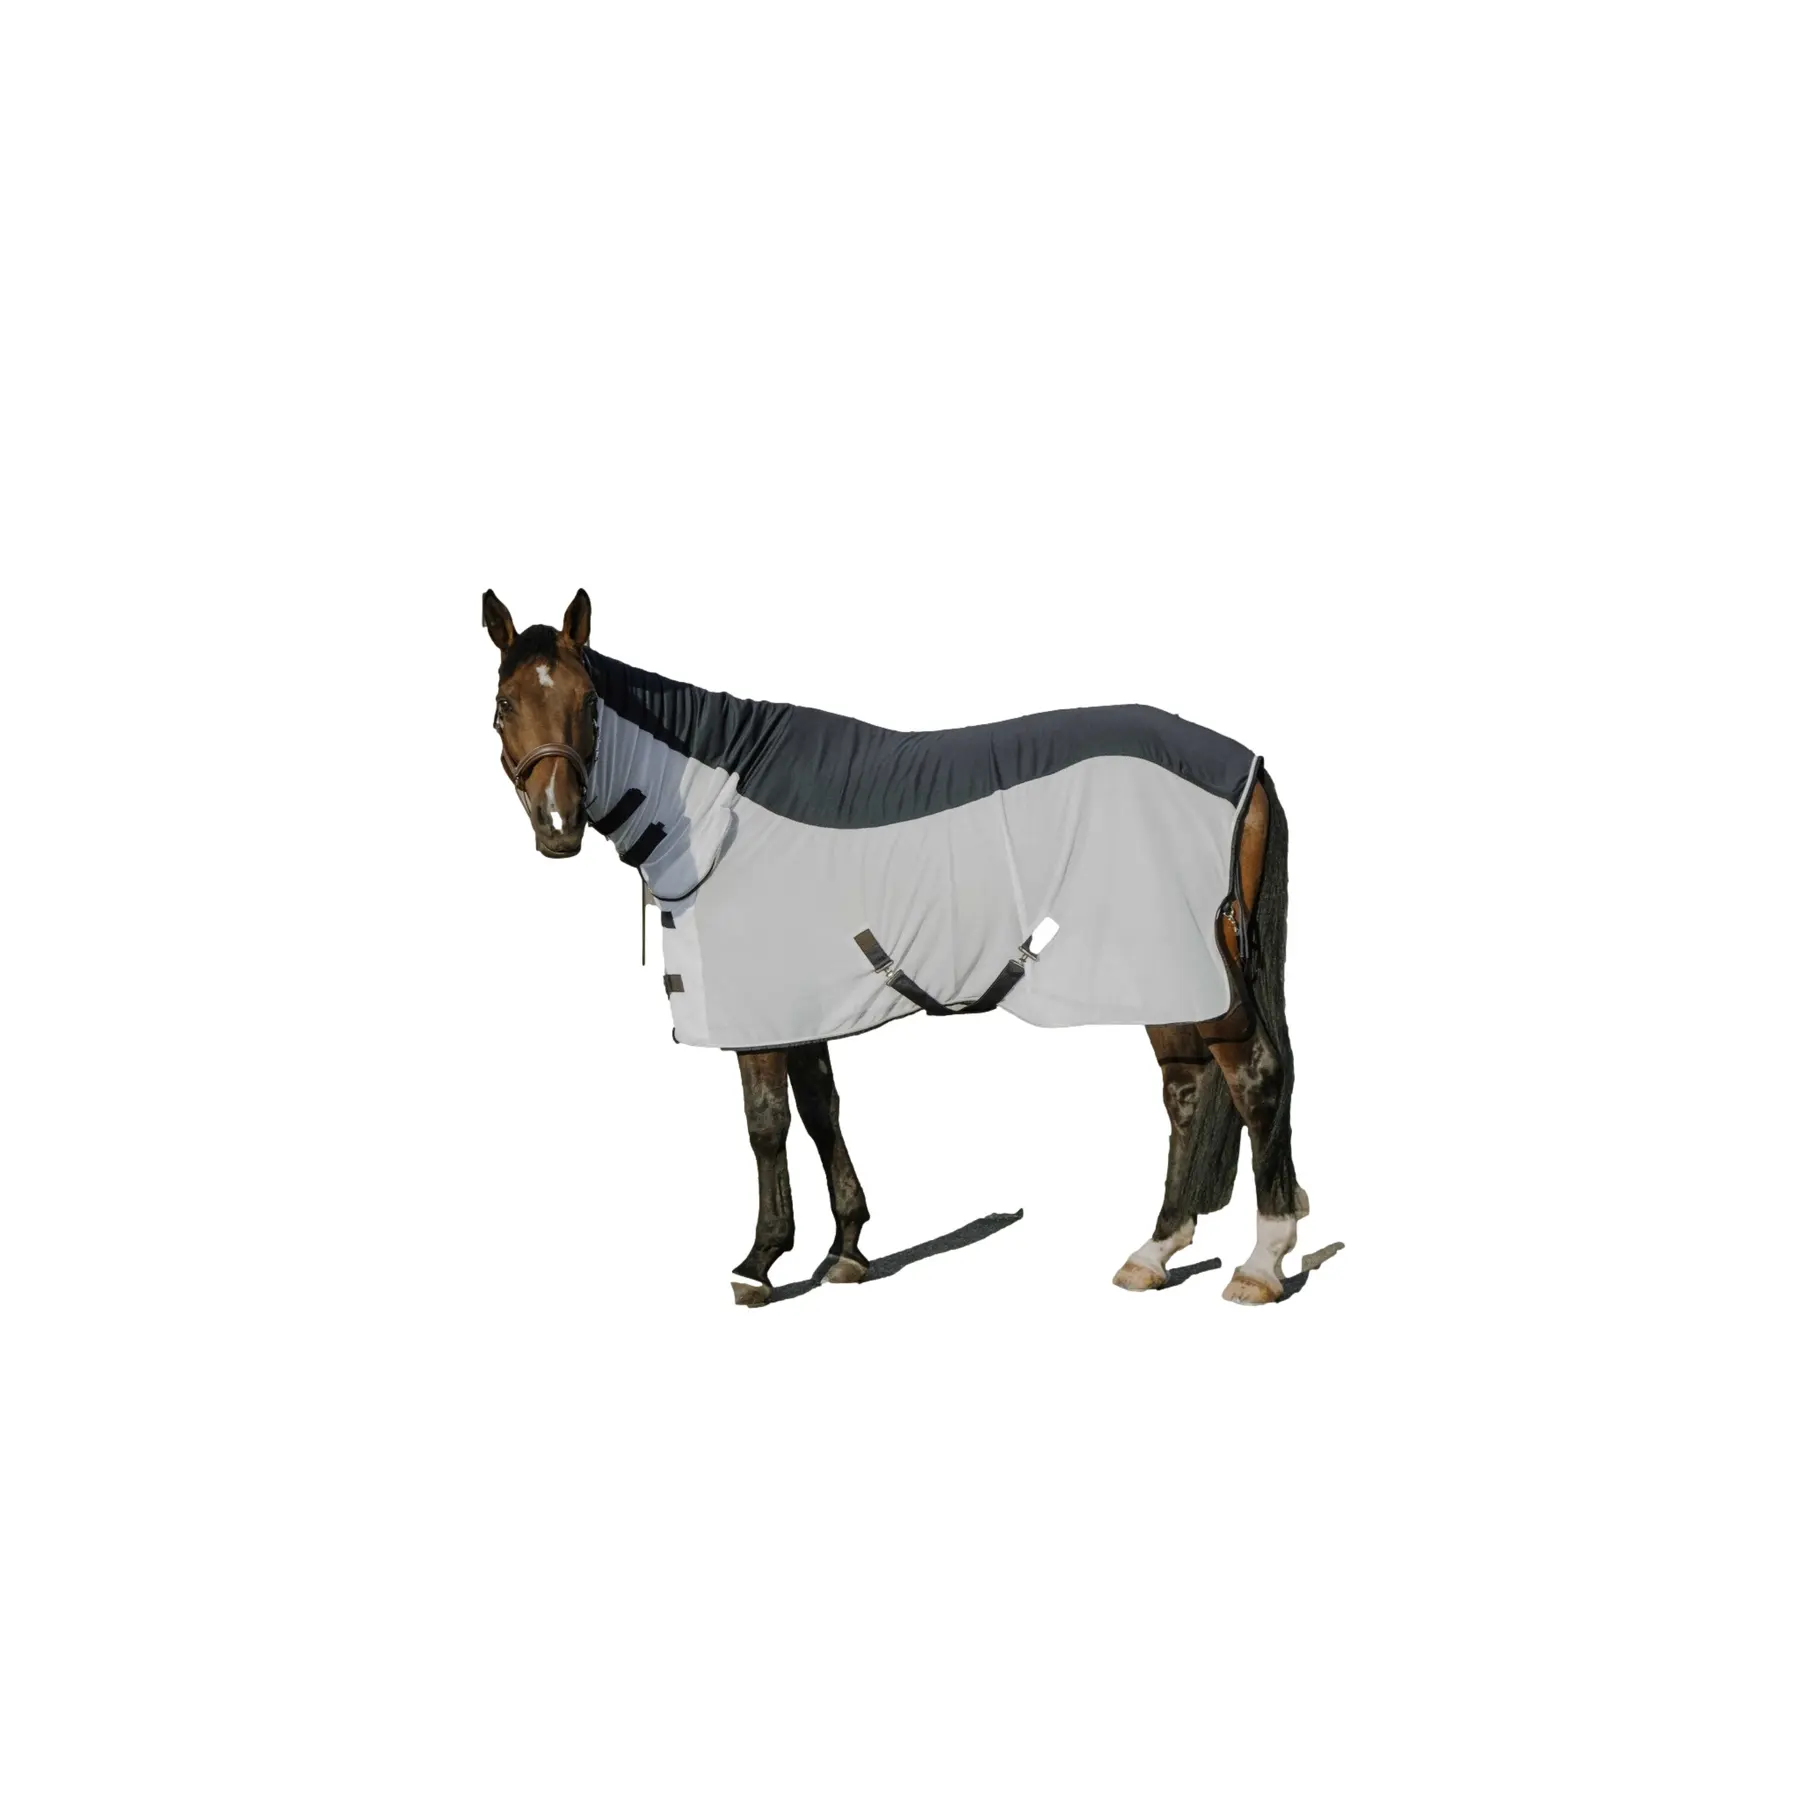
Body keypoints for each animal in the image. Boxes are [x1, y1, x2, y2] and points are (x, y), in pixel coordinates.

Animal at [483, 587, 1312, 1308]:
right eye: (504, 705)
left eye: (589, 703)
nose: (556, 826)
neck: (720, 808)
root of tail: (1249, 767)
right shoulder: (802, 1004)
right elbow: (821, 1109)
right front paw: (846, 1249)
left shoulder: (758, 1011)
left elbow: (766, 1125)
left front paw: (760, 1262)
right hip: (1159, 973)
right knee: (1187, 1089)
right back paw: (1155, 1251)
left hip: (1195, 972)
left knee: (1255, 1079)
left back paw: (1262, 1264)